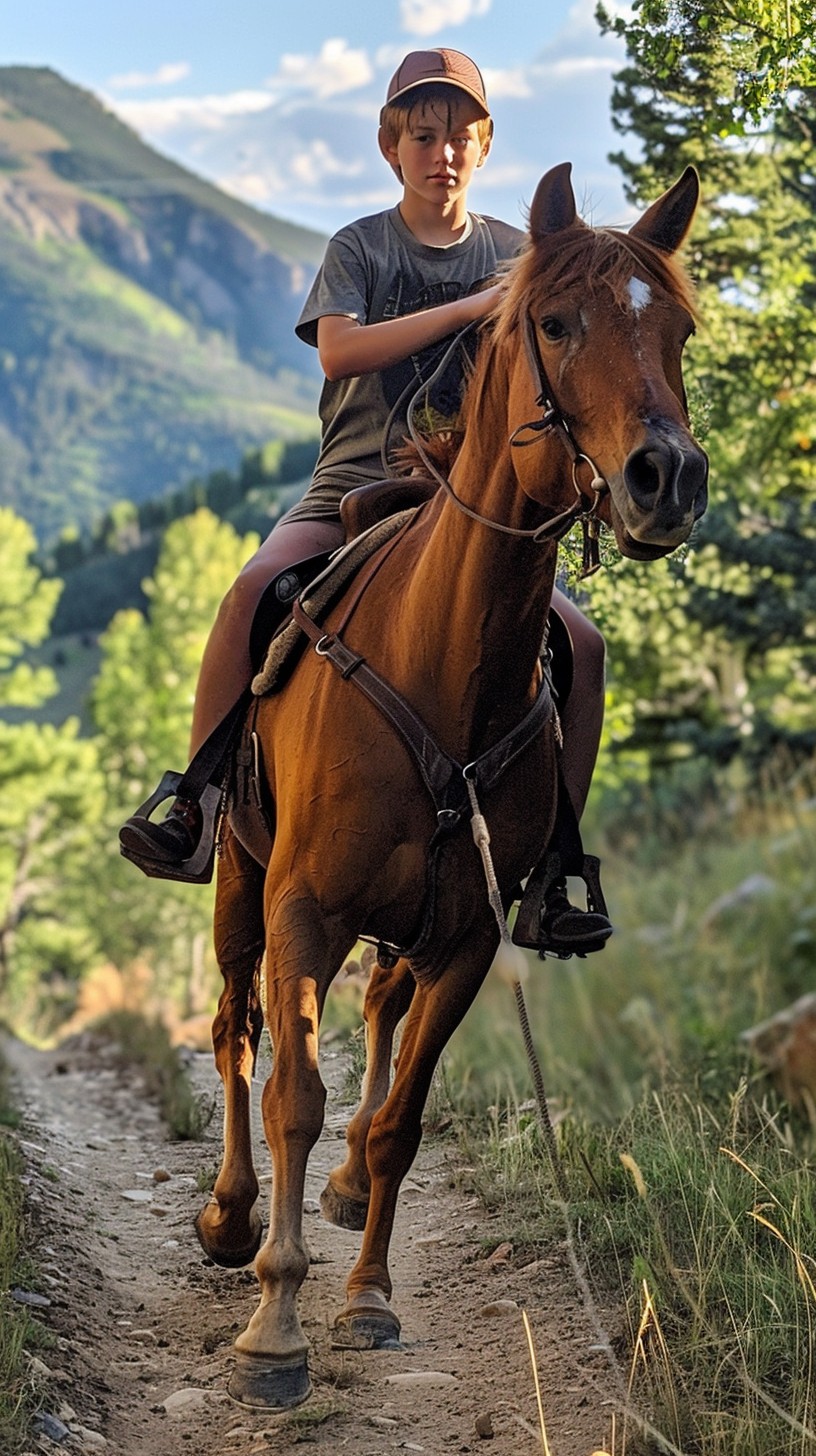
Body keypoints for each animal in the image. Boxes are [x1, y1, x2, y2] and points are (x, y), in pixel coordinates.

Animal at [194, 162, 709, 1409]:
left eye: (677, 330)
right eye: (556, 323)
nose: (667, 478)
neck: (443, 662)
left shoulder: (470, 933)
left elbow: (400, 1120)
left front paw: (368, 1296)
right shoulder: (302, 908)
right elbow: (294, 1095)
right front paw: (275, 1323)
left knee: (375, 1017)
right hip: (236, 880)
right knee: (234, 1032)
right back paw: (230, 1215)